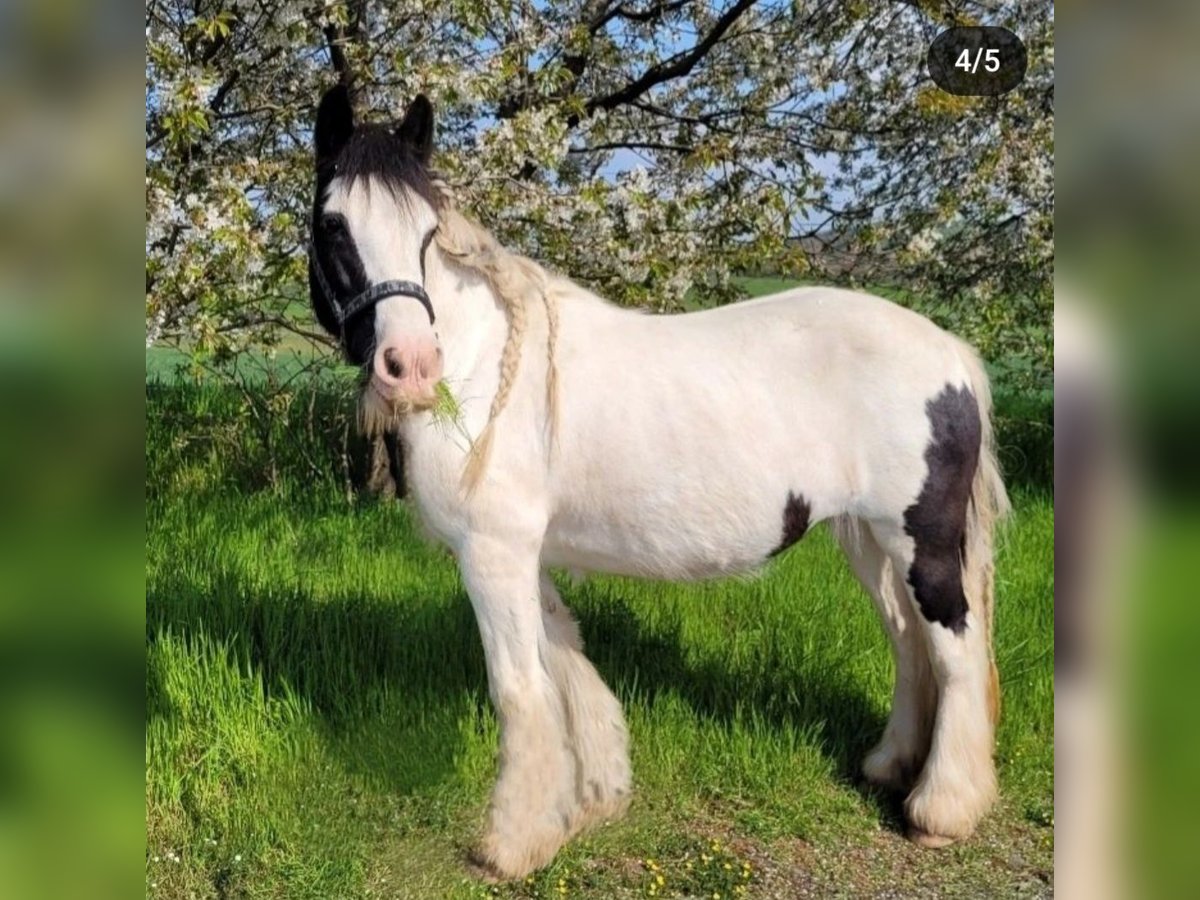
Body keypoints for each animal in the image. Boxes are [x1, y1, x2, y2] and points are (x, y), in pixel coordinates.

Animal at [304, 86, 1008, 883]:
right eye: (334, 225)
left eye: (426, 232)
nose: (411, 366)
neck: (487, 367)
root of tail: (948, 350)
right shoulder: (527, 556)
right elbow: (565, 666)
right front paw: (592, 799)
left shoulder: (492, 554)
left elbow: (520, 689)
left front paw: (511, 844)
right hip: (868, 541)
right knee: (908, 640)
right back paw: (890, 766)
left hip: (923, 543)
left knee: (954, 650)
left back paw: (942, 811)